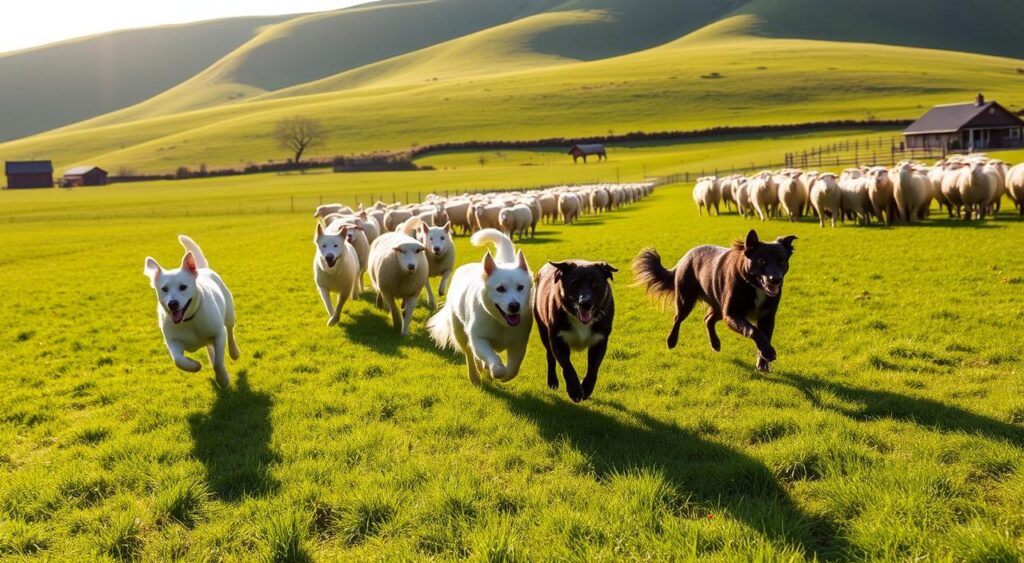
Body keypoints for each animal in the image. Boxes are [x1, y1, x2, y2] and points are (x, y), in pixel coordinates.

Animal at [144, 235, 239, 388]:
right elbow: (178, 360)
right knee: (210, 346)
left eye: (183, 287)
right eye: (164, 289)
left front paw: (223, 379)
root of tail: (201, 269)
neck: (189, 320)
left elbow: (219, 361)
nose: (172, 304)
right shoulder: (173, 342)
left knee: (230, 330)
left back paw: (234, 351)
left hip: (229, 312)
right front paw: (195, 366)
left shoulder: (219, 333)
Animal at [425, 229, 532, 384]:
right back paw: (475, 374)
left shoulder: (519, 343)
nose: (514, 306)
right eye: (500, 289)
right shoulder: (478, 338)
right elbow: (491, 359)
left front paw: (499, 373)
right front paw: (494, 369)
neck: (500, 322)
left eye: (520, 287)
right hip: (459, 331)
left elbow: (512, 370)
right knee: (469, 352)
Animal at [536, 262, 614, 403]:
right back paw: (552, 381)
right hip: (542, 330)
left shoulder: (600, 340)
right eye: (575, 284)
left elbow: (593, 368)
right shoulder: (557, 339)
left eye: (595, 284)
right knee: (550, 356)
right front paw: (575, 390)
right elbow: (568, 367)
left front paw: (586, 388)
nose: (585, 303)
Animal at [630, 231, 798, 372]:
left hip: (718, 305)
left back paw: (715, 343)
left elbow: (764, 336)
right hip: (686, 300)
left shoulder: (767, 317)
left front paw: (763, 361)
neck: (753, 285)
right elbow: (753, 330)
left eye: (781, 261)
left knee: (708, 319)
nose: (775, 279)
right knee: (677, 318)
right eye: (762, 261)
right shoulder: (731, 314)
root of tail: (684, 258)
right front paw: (768, 353)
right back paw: (671, 341)